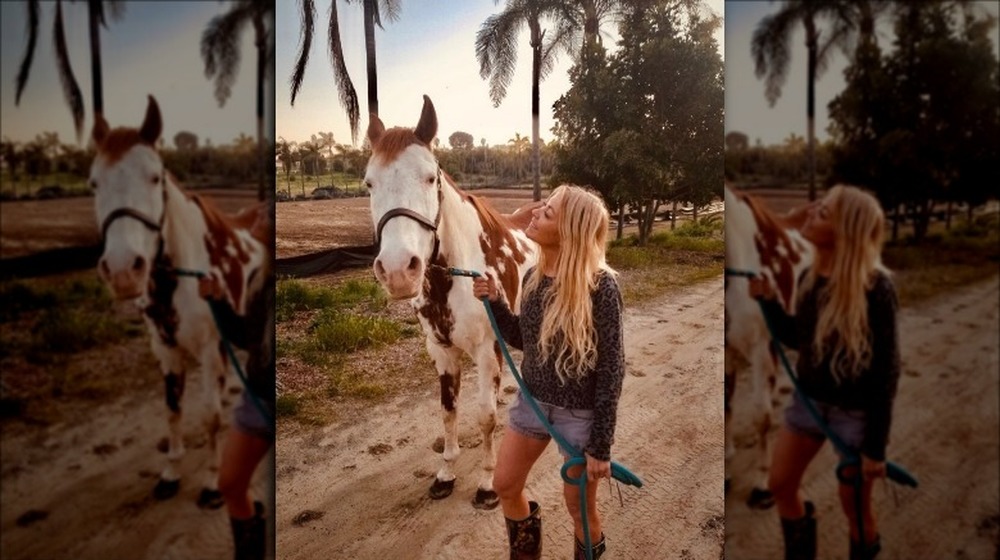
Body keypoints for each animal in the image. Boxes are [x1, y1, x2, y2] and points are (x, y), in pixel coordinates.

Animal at [90, 95, 268, 508]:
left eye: (155, 177)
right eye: (94, 183)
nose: (123, 270)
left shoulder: (210, 350)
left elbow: (210, 417)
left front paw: (212, 482)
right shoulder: (166, 350)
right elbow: (172, 411)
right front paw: (170, 473)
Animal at [366, 95, 540, 508]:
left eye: (431, 177)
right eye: (369, 183)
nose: (398, 270)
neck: (457, 276)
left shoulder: (486, 350)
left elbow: (486, 417)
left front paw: (488, 483)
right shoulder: (442, 352)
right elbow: (448, 413)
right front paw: (445, 473)